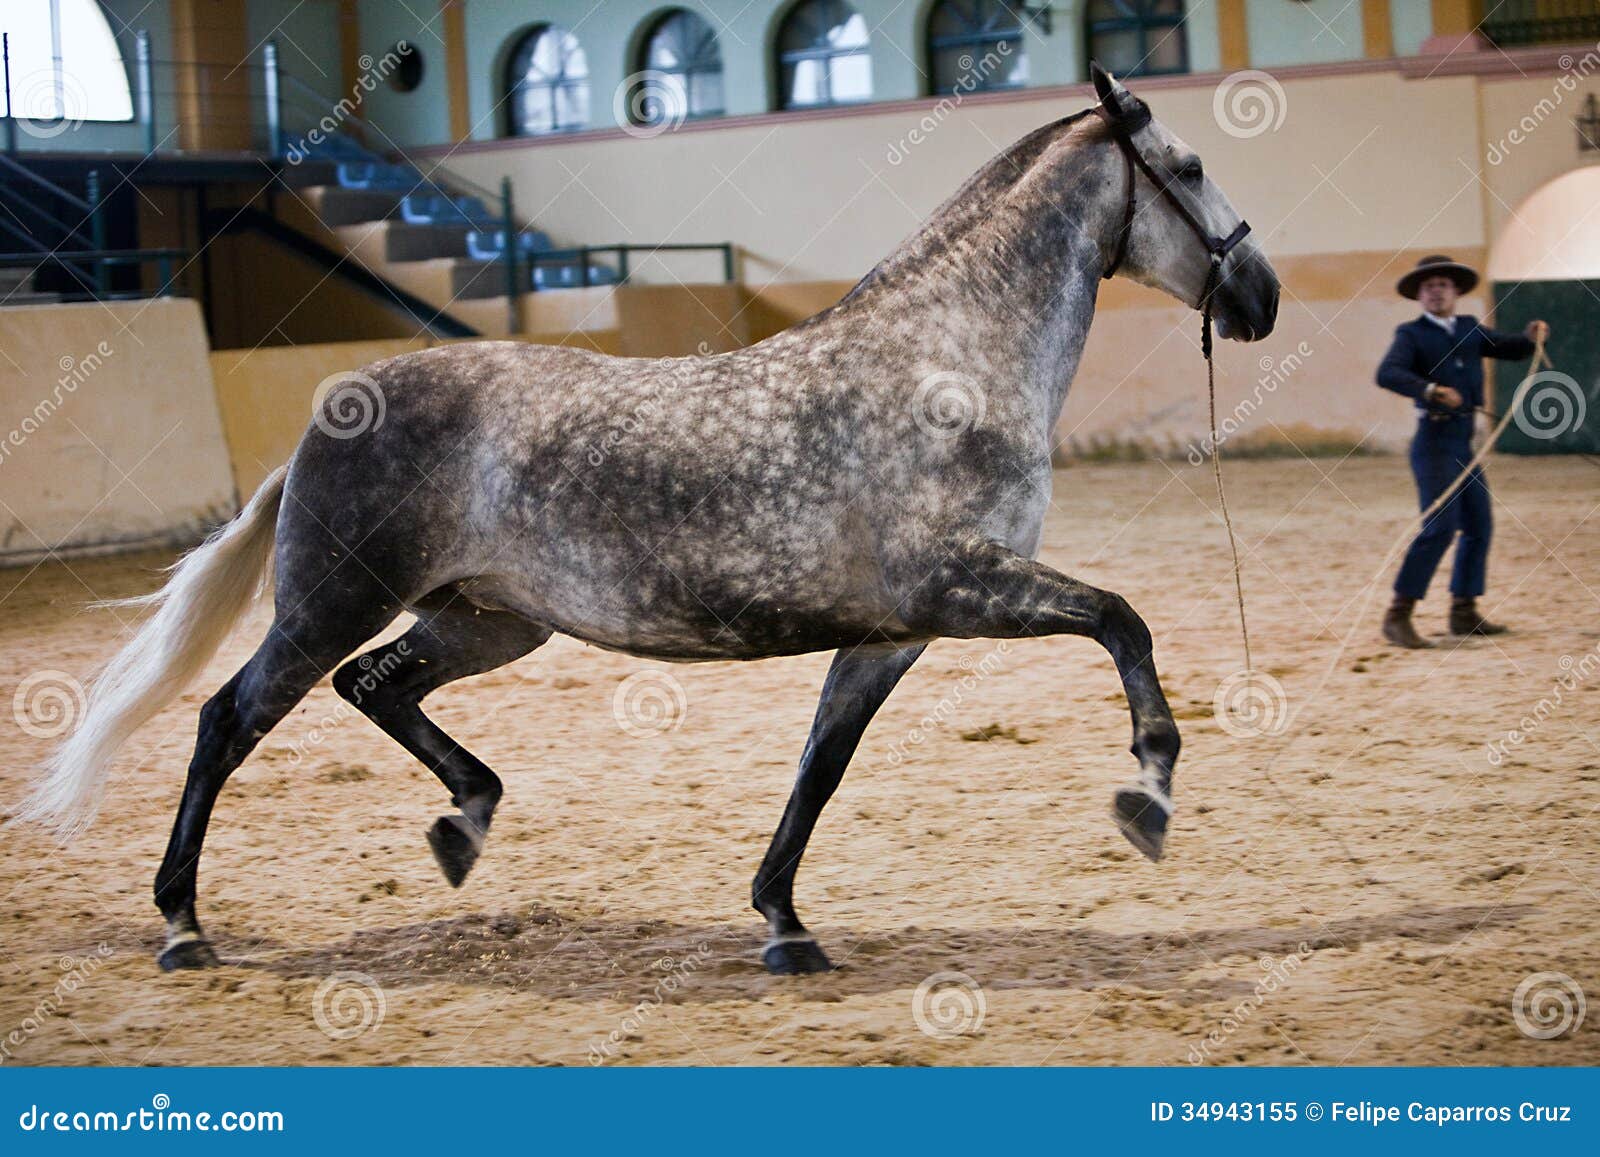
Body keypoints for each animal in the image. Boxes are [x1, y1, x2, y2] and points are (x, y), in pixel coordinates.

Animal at [18, 66, 1278, 976]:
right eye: (1189, 165)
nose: (1259, 294)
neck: (944, 364)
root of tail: (326, 417)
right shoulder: (959, 585)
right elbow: (1121, 620)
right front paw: (1147, 795)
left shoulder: (892, 632)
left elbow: (820, 765)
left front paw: (784, 922)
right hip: (334, 600)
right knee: (228, 719)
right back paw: (184, 925)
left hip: (487, 621)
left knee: (374, 686)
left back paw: (463, 824)